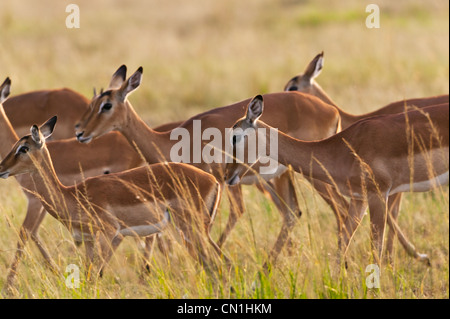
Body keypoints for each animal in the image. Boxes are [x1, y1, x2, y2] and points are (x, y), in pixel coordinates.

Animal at [0, 117, 227, 282]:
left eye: (23, 148)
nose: (2, 168)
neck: (72, 195)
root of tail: (212, 180)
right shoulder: (89, 240)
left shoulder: (110, 235)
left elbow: (94, 278)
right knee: (222, 262)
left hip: (191, 231)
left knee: (216, 264)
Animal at [75, 65, 344, 270]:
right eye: (93, 102)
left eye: (106, 105)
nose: (80, 133)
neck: (171, 141)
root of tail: (332, 111)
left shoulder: (213, 183)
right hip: (280, 177)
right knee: (292, 213)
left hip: (314, 174)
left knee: (339, 207)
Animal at [227, 96, 448, 266]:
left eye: (235, 136)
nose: (228, 176)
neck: (343, 149)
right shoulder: (359, 200)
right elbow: (342, 247)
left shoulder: (378, 196)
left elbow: (375, 252)